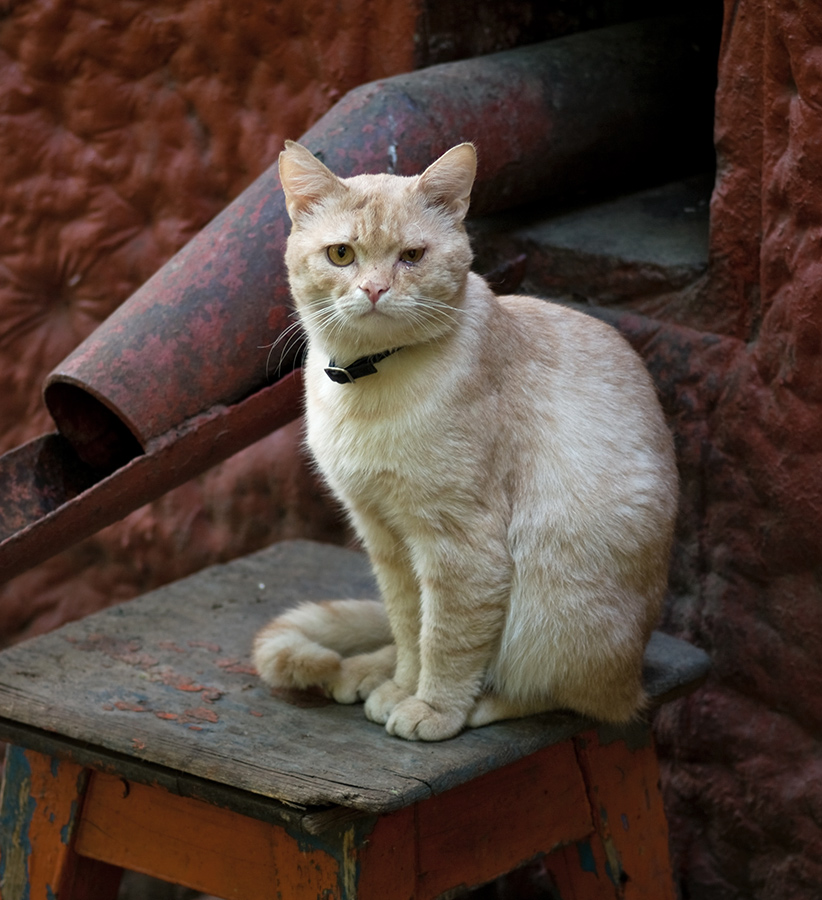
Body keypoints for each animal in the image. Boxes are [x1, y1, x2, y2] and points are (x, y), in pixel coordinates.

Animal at [254, 141, 680, 740]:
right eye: (341, 255)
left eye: (412, 256)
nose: (375, 289)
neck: (369, 384)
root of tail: (638, 669)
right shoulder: (385, 537)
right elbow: (410, 626)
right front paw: (403, 686)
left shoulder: (460, 543)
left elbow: (447, 639)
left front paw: (432, 708)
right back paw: (368, 671)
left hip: (553, 602)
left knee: (580, 698)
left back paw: (481, 703)